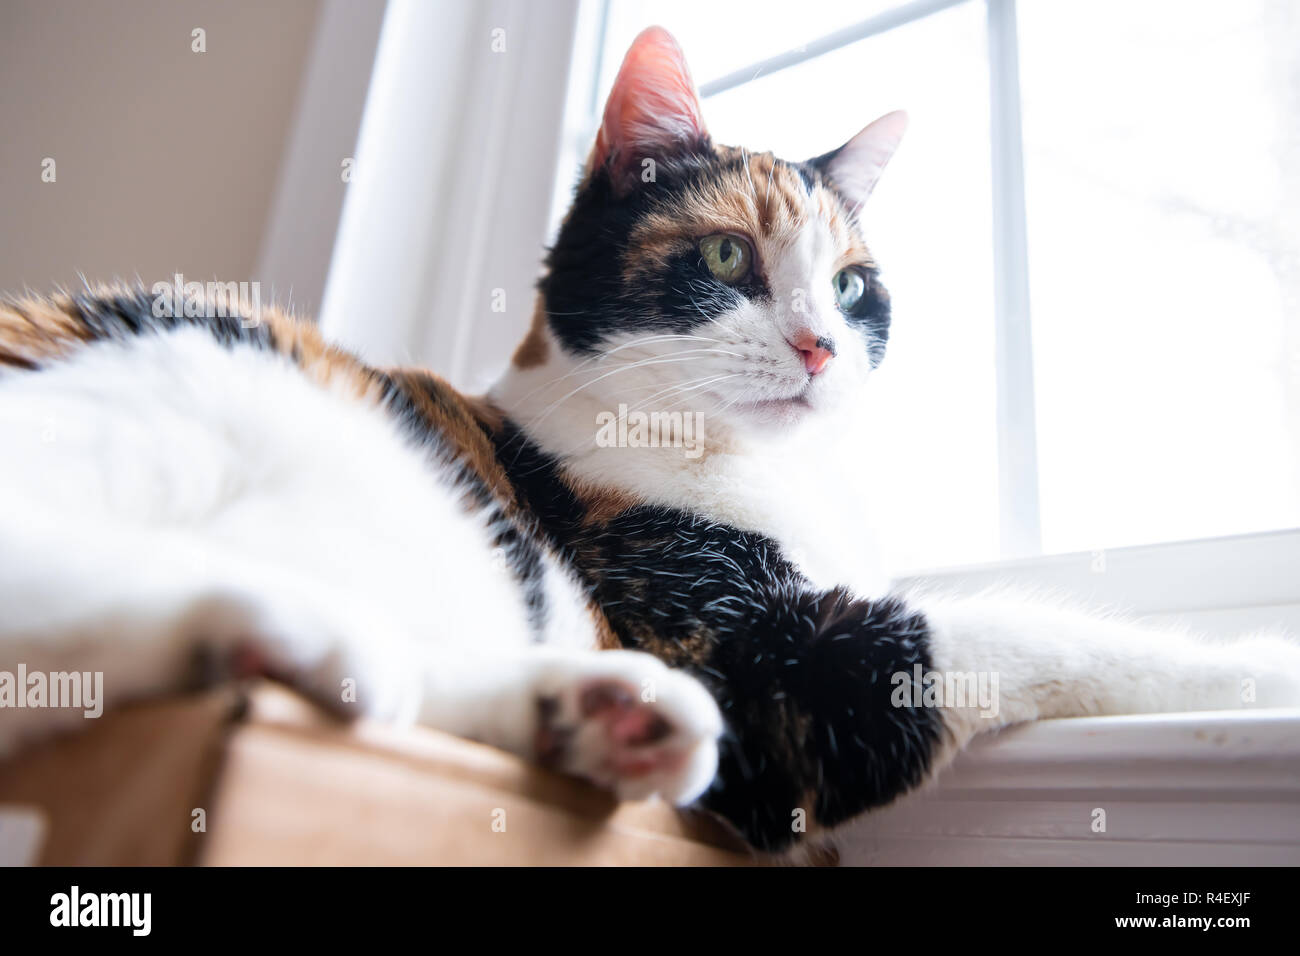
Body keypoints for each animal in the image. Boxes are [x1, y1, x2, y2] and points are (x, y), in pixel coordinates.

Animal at [2, 27, 1300, 853]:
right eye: (727, 255)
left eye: (852, 284)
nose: (820, 345)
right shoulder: (759, 660)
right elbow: (1035, 631)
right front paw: (1259, 665)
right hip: (179, 390)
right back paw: (286, 626)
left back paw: (595, 713)